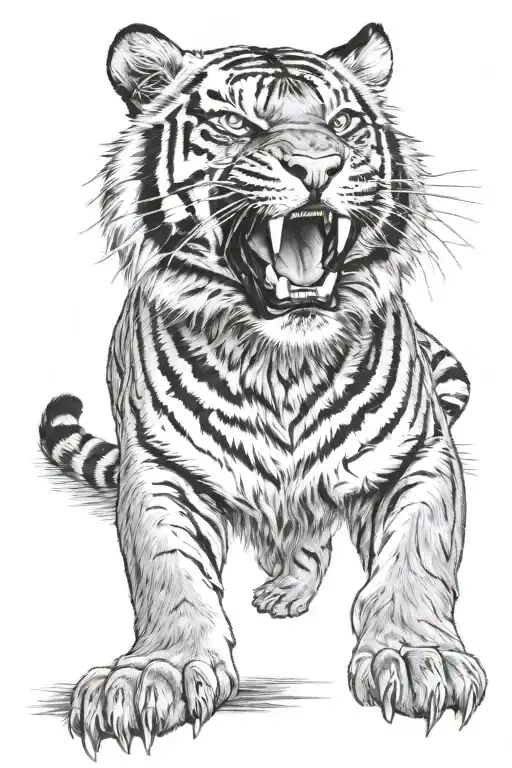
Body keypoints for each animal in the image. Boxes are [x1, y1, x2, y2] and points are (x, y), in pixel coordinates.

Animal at [39, 22, 486, 758]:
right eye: (234, 122)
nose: (318, 168)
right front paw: (155, 675)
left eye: (342, 123)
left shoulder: (419, 454)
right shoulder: (160, 469)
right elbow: (167, 572)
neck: (282, 357)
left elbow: (416, 560)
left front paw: (418, 658)